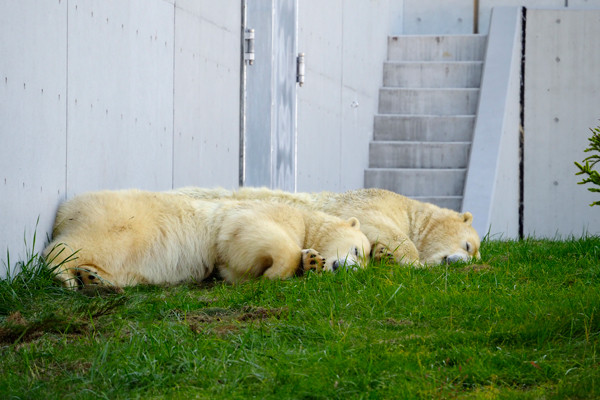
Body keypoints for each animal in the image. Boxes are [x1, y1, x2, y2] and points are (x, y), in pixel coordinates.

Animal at [43, 191, 370, 288]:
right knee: (80, 244)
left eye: (363, 259)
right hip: (117, 220)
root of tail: (65, 209)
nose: (348, 269)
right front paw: (279, 270)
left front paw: (312, 260)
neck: (308, 219)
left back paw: (94, 278)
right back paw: (65, 275)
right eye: (358, 250)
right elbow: (247, 231)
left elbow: (233, 268)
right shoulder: (262, 212)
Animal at [175, 187, 482, 266]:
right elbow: (376, 223)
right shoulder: (372, 202)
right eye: (469, 245)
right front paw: (411, 261)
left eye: (475, 253)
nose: (464, 262)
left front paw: (384, 254)